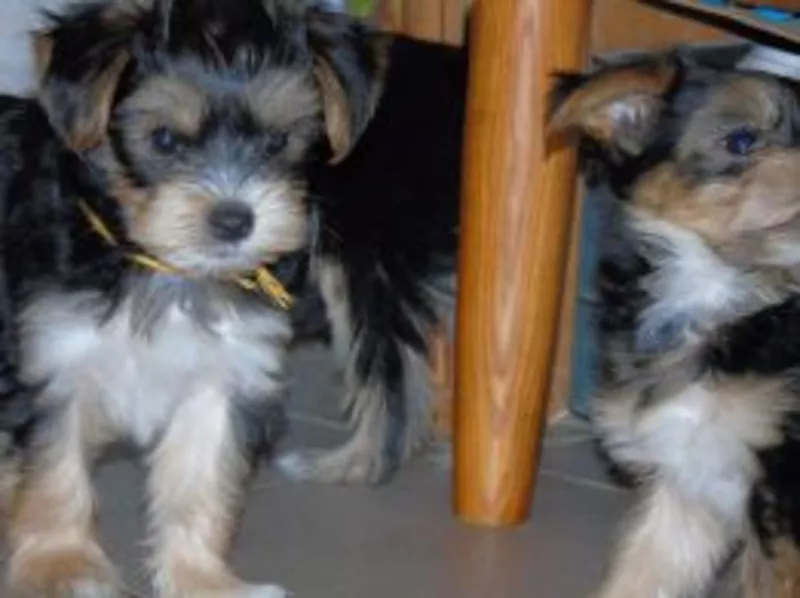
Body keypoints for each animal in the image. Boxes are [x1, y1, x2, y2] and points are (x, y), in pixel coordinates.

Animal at [0, 0, 385, 595]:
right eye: (164, 140)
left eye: (277, 142)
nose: (234, 219)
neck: (164, 267)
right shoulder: (53, 359)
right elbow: (54, 468)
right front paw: (60, 566)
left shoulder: (223, 380)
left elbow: (200, 485)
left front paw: (202, 578)